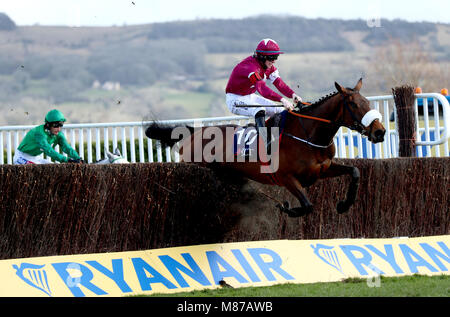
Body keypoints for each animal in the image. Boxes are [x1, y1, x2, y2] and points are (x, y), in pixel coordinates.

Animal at [146, 79, 384, 217]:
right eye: (353, 104)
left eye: (367, 102)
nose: (380, 132)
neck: (308, 133)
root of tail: (192, 133)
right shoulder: (287, 178)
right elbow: (307, 205)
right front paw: (287, 208)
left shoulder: (322, 169)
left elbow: (354, 171)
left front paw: (345, 204)